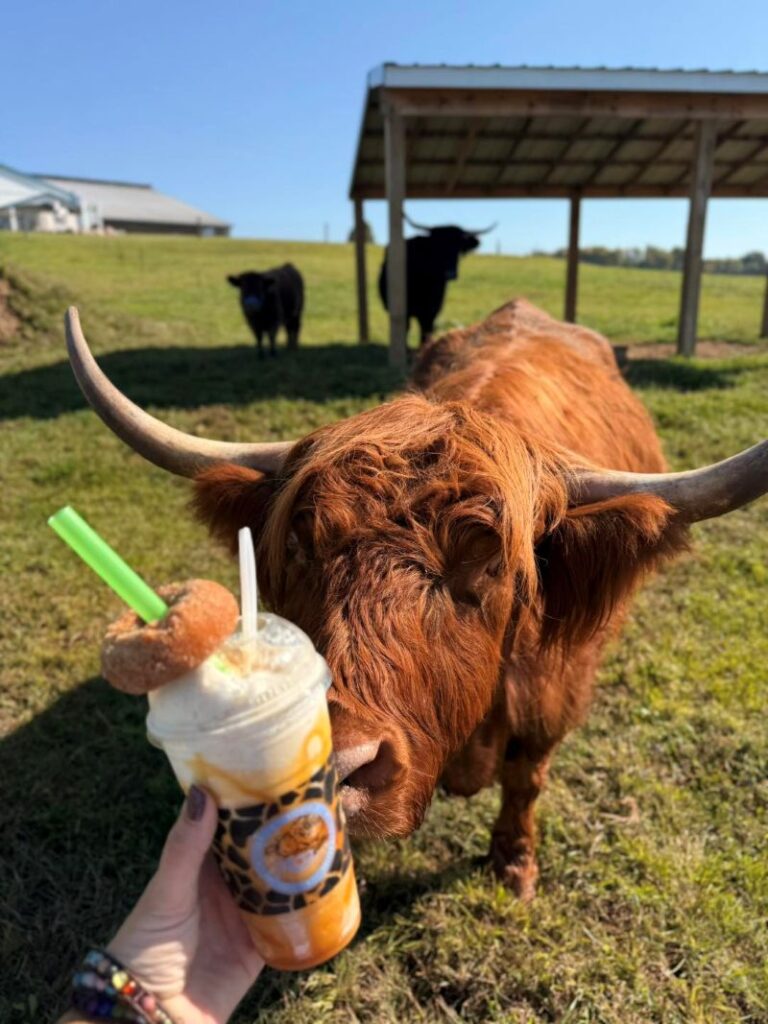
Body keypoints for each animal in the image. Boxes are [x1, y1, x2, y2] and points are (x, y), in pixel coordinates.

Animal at [64, 300, 767, 899]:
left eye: (487, 564)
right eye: (299, 543)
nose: (338, 763)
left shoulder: (553, 697)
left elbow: (526, 779)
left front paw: (515, 866)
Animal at [378, 216, 496, 345]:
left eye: (458, 248)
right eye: (437, 246)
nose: (450, 273)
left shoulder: (432, 312)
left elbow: (426, 332)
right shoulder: (405, 311)